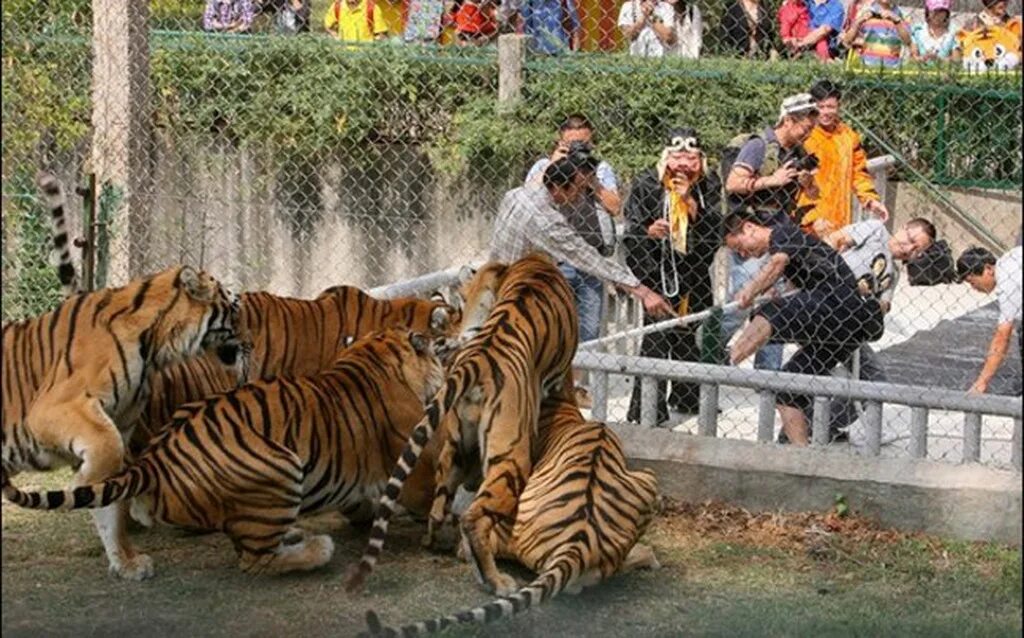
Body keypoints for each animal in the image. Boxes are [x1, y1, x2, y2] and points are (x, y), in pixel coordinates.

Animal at [1, 262, 241, 581]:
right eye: (235, 308)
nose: (250, 340)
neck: (155, 347)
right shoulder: (54, 409)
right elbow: (108, 456)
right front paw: (82, 485)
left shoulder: (117, 423)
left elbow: (111, 503)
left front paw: (126, 563)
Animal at [2, 331, 446, 577]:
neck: (375, 353)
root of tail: (154, 462)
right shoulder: (416, 466)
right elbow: (438, 497)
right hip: (280, 466)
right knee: (254, 559)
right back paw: (316, 548)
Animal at [346, 251, 581, 598]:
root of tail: (478, 360)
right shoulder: (562, 369)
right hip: (512, 455)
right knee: (473, 517)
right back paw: (497, 581)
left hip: (454, 447)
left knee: (438, 506)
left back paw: (434, 542)